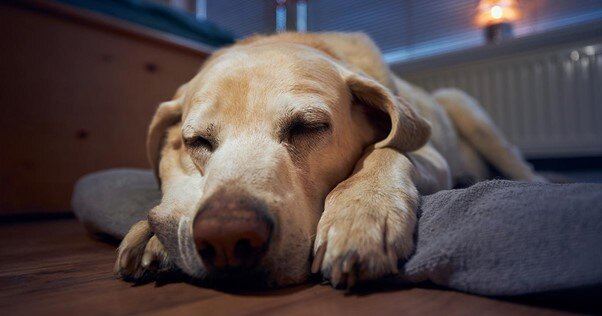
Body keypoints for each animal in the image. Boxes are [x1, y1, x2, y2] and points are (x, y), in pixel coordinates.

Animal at [115, 32, 540, 288]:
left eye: (308, 127)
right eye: (197, 141)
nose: (226, 239)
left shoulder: (429, 152)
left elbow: (385, 149)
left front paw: (361, 214)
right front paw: (151, 234)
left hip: (468, 110)